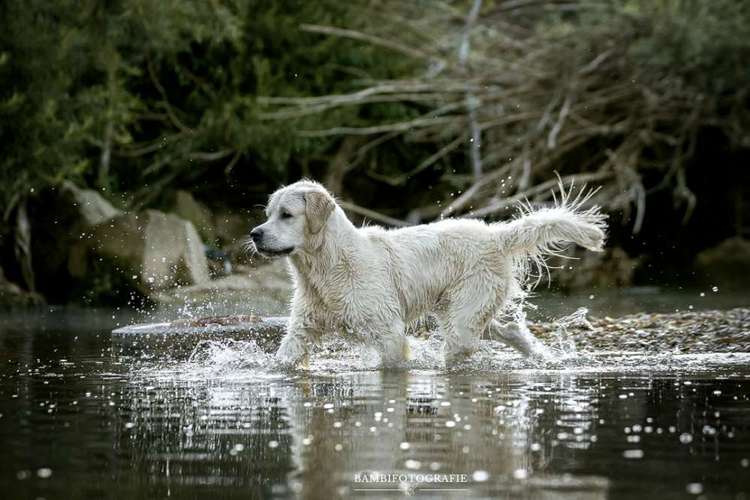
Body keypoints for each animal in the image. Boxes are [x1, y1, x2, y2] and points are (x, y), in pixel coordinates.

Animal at [250, 180, 608, 368]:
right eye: (268, 214)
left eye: (286, 215)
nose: (255, 234)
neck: (328, 267)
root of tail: (495, 235)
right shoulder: (302, 328)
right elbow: (285, 357)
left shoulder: (388, 331)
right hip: (465, 310)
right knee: (510, 330)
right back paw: (542, 356)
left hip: (463, 317)